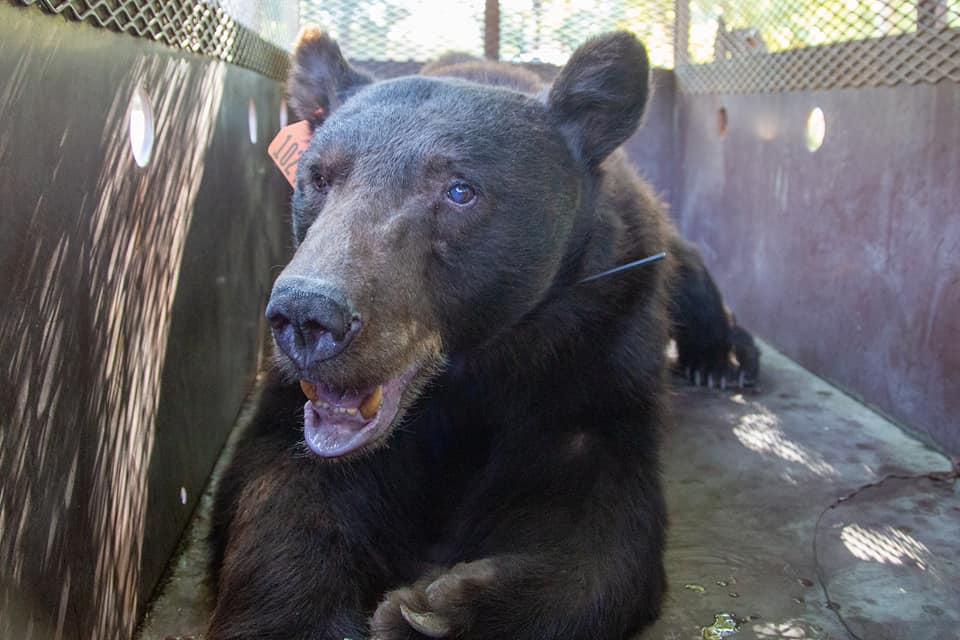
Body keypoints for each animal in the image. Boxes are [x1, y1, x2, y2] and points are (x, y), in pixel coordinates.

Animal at [208, 27, 744, 636]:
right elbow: (282, 489)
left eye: (459, 190)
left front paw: (428, 611)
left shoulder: (594, 342)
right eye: (318, 177)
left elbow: (598, 517)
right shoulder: (300, 406)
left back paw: (723, 362)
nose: (306, 316)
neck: (467, 362)